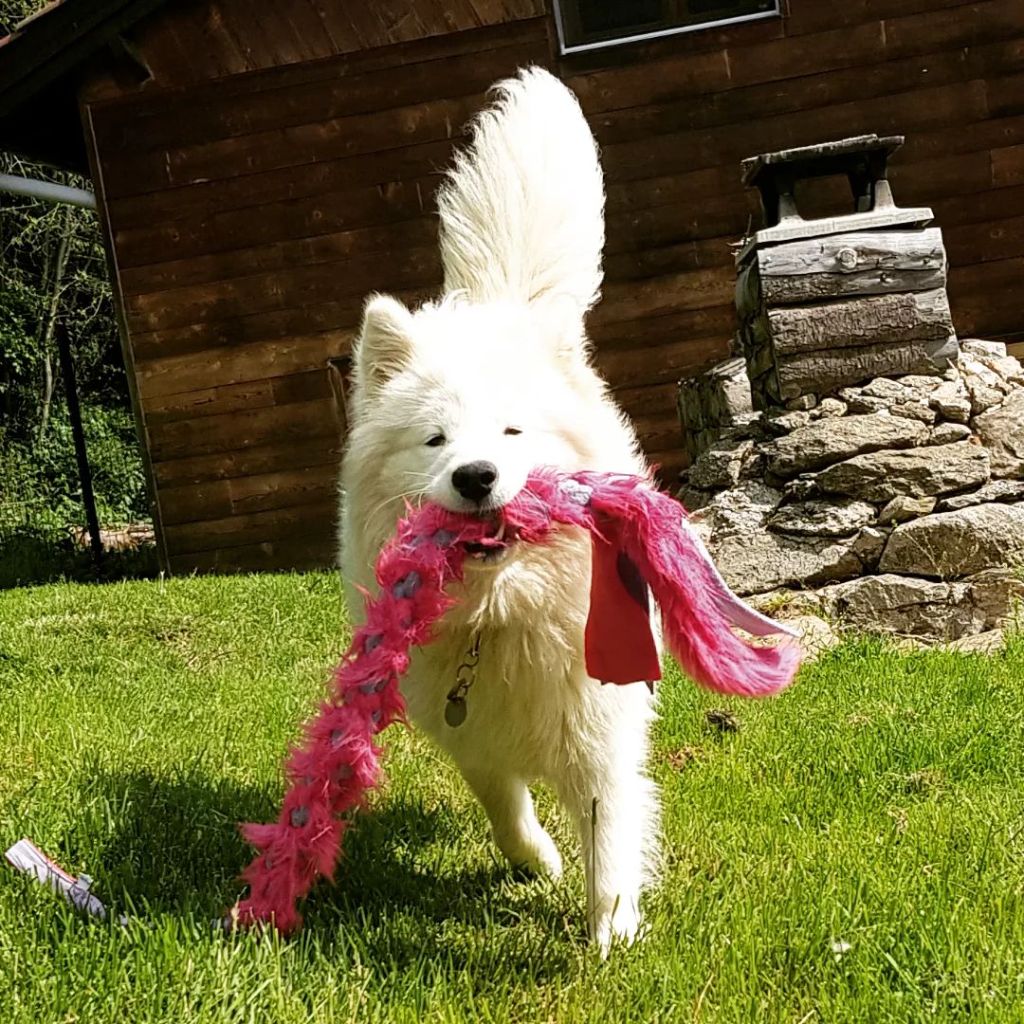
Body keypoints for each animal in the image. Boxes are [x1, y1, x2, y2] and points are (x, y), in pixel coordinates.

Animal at [335, 70, 655, 950]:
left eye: (512, 433)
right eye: (435, 439)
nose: (476, 477)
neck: (501, 609)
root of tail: (496, 304)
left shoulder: (597, 728)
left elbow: (608, 830)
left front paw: (608, 934)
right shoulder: (468, 732)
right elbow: (504, 807)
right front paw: (536, 861)